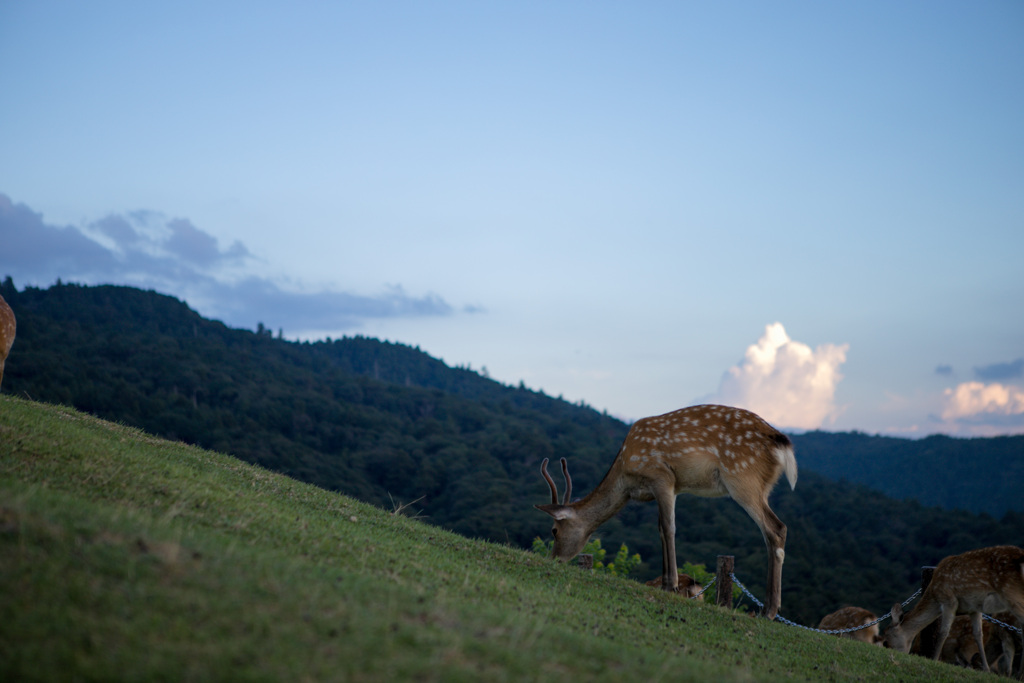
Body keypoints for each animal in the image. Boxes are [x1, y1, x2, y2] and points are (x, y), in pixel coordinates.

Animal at [536, 403, 798, 622]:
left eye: (554, 530)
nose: (554, 559)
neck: (626, 477)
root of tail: (781, 442)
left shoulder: (662, 477)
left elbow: (668, 527)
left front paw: (670, 584)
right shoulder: (671, 487)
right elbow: (660, 530)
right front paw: (665, 583)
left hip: (742, 478)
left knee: (776, 528)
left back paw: (769, 611)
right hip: (762, 486)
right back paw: (767, 609)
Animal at [880, 544, 1024, 671]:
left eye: (886, 641)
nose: (891, 654)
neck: (934, 593)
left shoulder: (949, 600)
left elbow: (943, 632)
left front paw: (934, 660)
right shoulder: (974, 608)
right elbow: (978, 634)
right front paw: (986, 670)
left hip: (1011, 592)